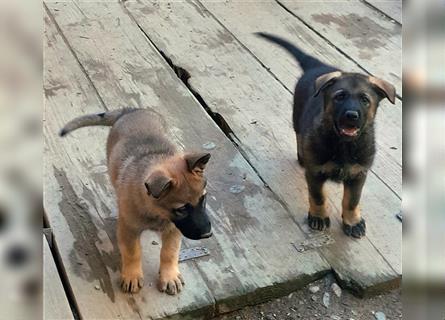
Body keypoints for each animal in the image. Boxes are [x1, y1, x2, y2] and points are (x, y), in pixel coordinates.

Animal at [60, 109, 212, 294]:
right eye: (182, 209)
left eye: (203, 198)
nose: (208, 234)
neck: (157, 213)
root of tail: (131, 110)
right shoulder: (129, 229)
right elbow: (133, 253)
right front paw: (132, 275)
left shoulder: (174, 229)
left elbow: (169, 252)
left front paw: (169, 276)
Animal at [256, 33, 396, 238]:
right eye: (340, 96)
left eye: (365, 100)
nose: (351, 115)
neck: (344, 145)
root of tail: (317, 66)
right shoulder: (314, 172)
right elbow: (318, 197)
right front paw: (319, 217)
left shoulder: (358, 174)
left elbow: (352, 200)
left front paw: (353, 221)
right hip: (297, 115)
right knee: (299, 134)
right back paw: (301, 155)